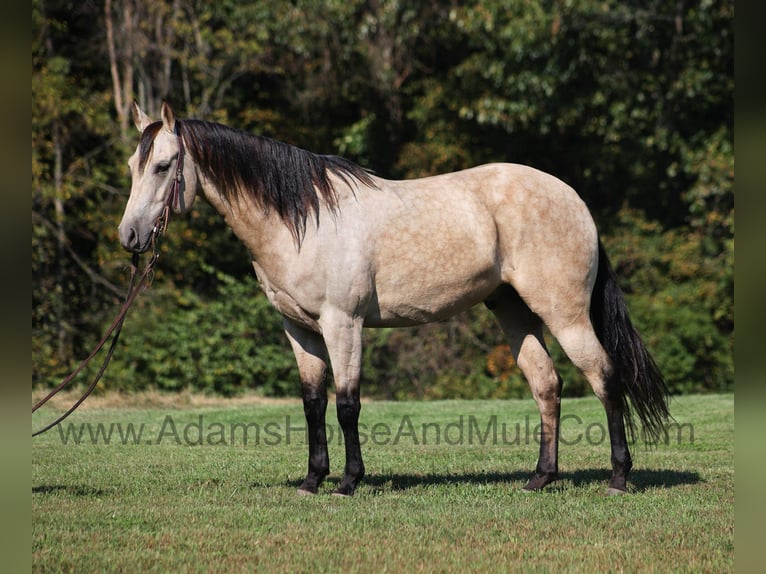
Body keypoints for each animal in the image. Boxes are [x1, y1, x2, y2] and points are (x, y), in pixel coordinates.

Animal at [117, 103, 668, 500]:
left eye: (163, 166)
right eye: (132, 166)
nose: (130, 237)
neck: (302, 221)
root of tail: (574, 200)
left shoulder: (343, 323)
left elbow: (347, 404)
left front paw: (347, 482)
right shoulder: (299, 330)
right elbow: (314, 404)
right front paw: (312, 481)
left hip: (565, 313)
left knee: (605, 377)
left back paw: (618, 479)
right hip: (514, 312)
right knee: (546, 384)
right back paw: (540, 479)